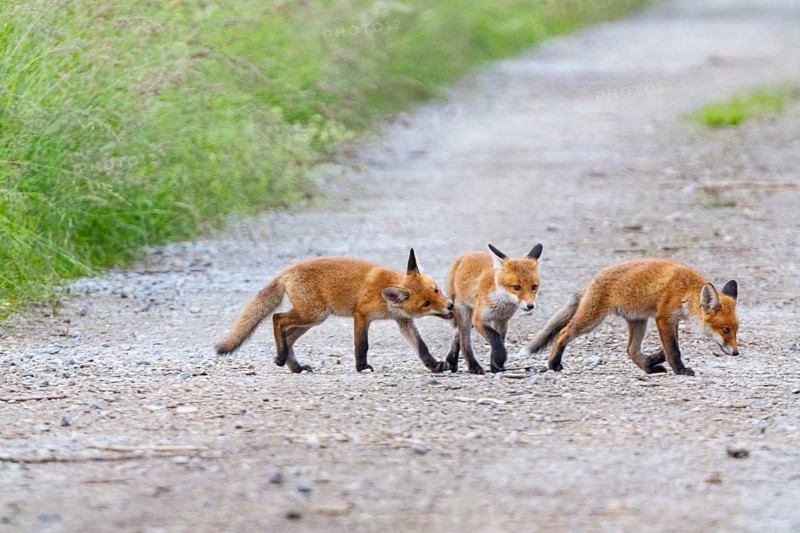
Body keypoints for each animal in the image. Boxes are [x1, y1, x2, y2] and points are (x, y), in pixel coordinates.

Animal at [215, 249, 454, 374]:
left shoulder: (403, 321)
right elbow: (362, 345)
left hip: (311, 320)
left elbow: (421, 346)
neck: (385, 294)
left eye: (436, 290)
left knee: (287, 336)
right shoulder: (361, 315)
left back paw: (294, 366)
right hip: (313, 314)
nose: (451, 306)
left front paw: (434, 365)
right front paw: (361, 367)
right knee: (277, 318)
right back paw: (283, 358)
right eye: (426, 304)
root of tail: (287, 271)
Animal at [445, 243, 543, 374]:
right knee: (464, 342)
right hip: (466, 315)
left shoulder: (502, 321)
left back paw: (451, 362)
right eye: (516, 287)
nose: (530, 306)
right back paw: (473, 367)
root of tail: (465, 255)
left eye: (534, 287)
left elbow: (500, 339)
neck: (501, 303)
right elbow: (495, 338)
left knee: (457, 336)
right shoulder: (479, 319)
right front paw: (499, 358)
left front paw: (496, 366)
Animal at [521, 258, 739, 376]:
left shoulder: (672, 321)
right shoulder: (663, 317)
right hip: (592, 319)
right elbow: (674, 350)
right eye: (725, 330)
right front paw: (680, 370)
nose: (737, 353)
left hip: (639, 322)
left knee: (631, 350)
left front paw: (654, 360)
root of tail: (593, 280)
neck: (685, 290)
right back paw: (553, 364)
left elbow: (668, 348)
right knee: (563, 333)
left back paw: (649, 368)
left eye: (736, 331)